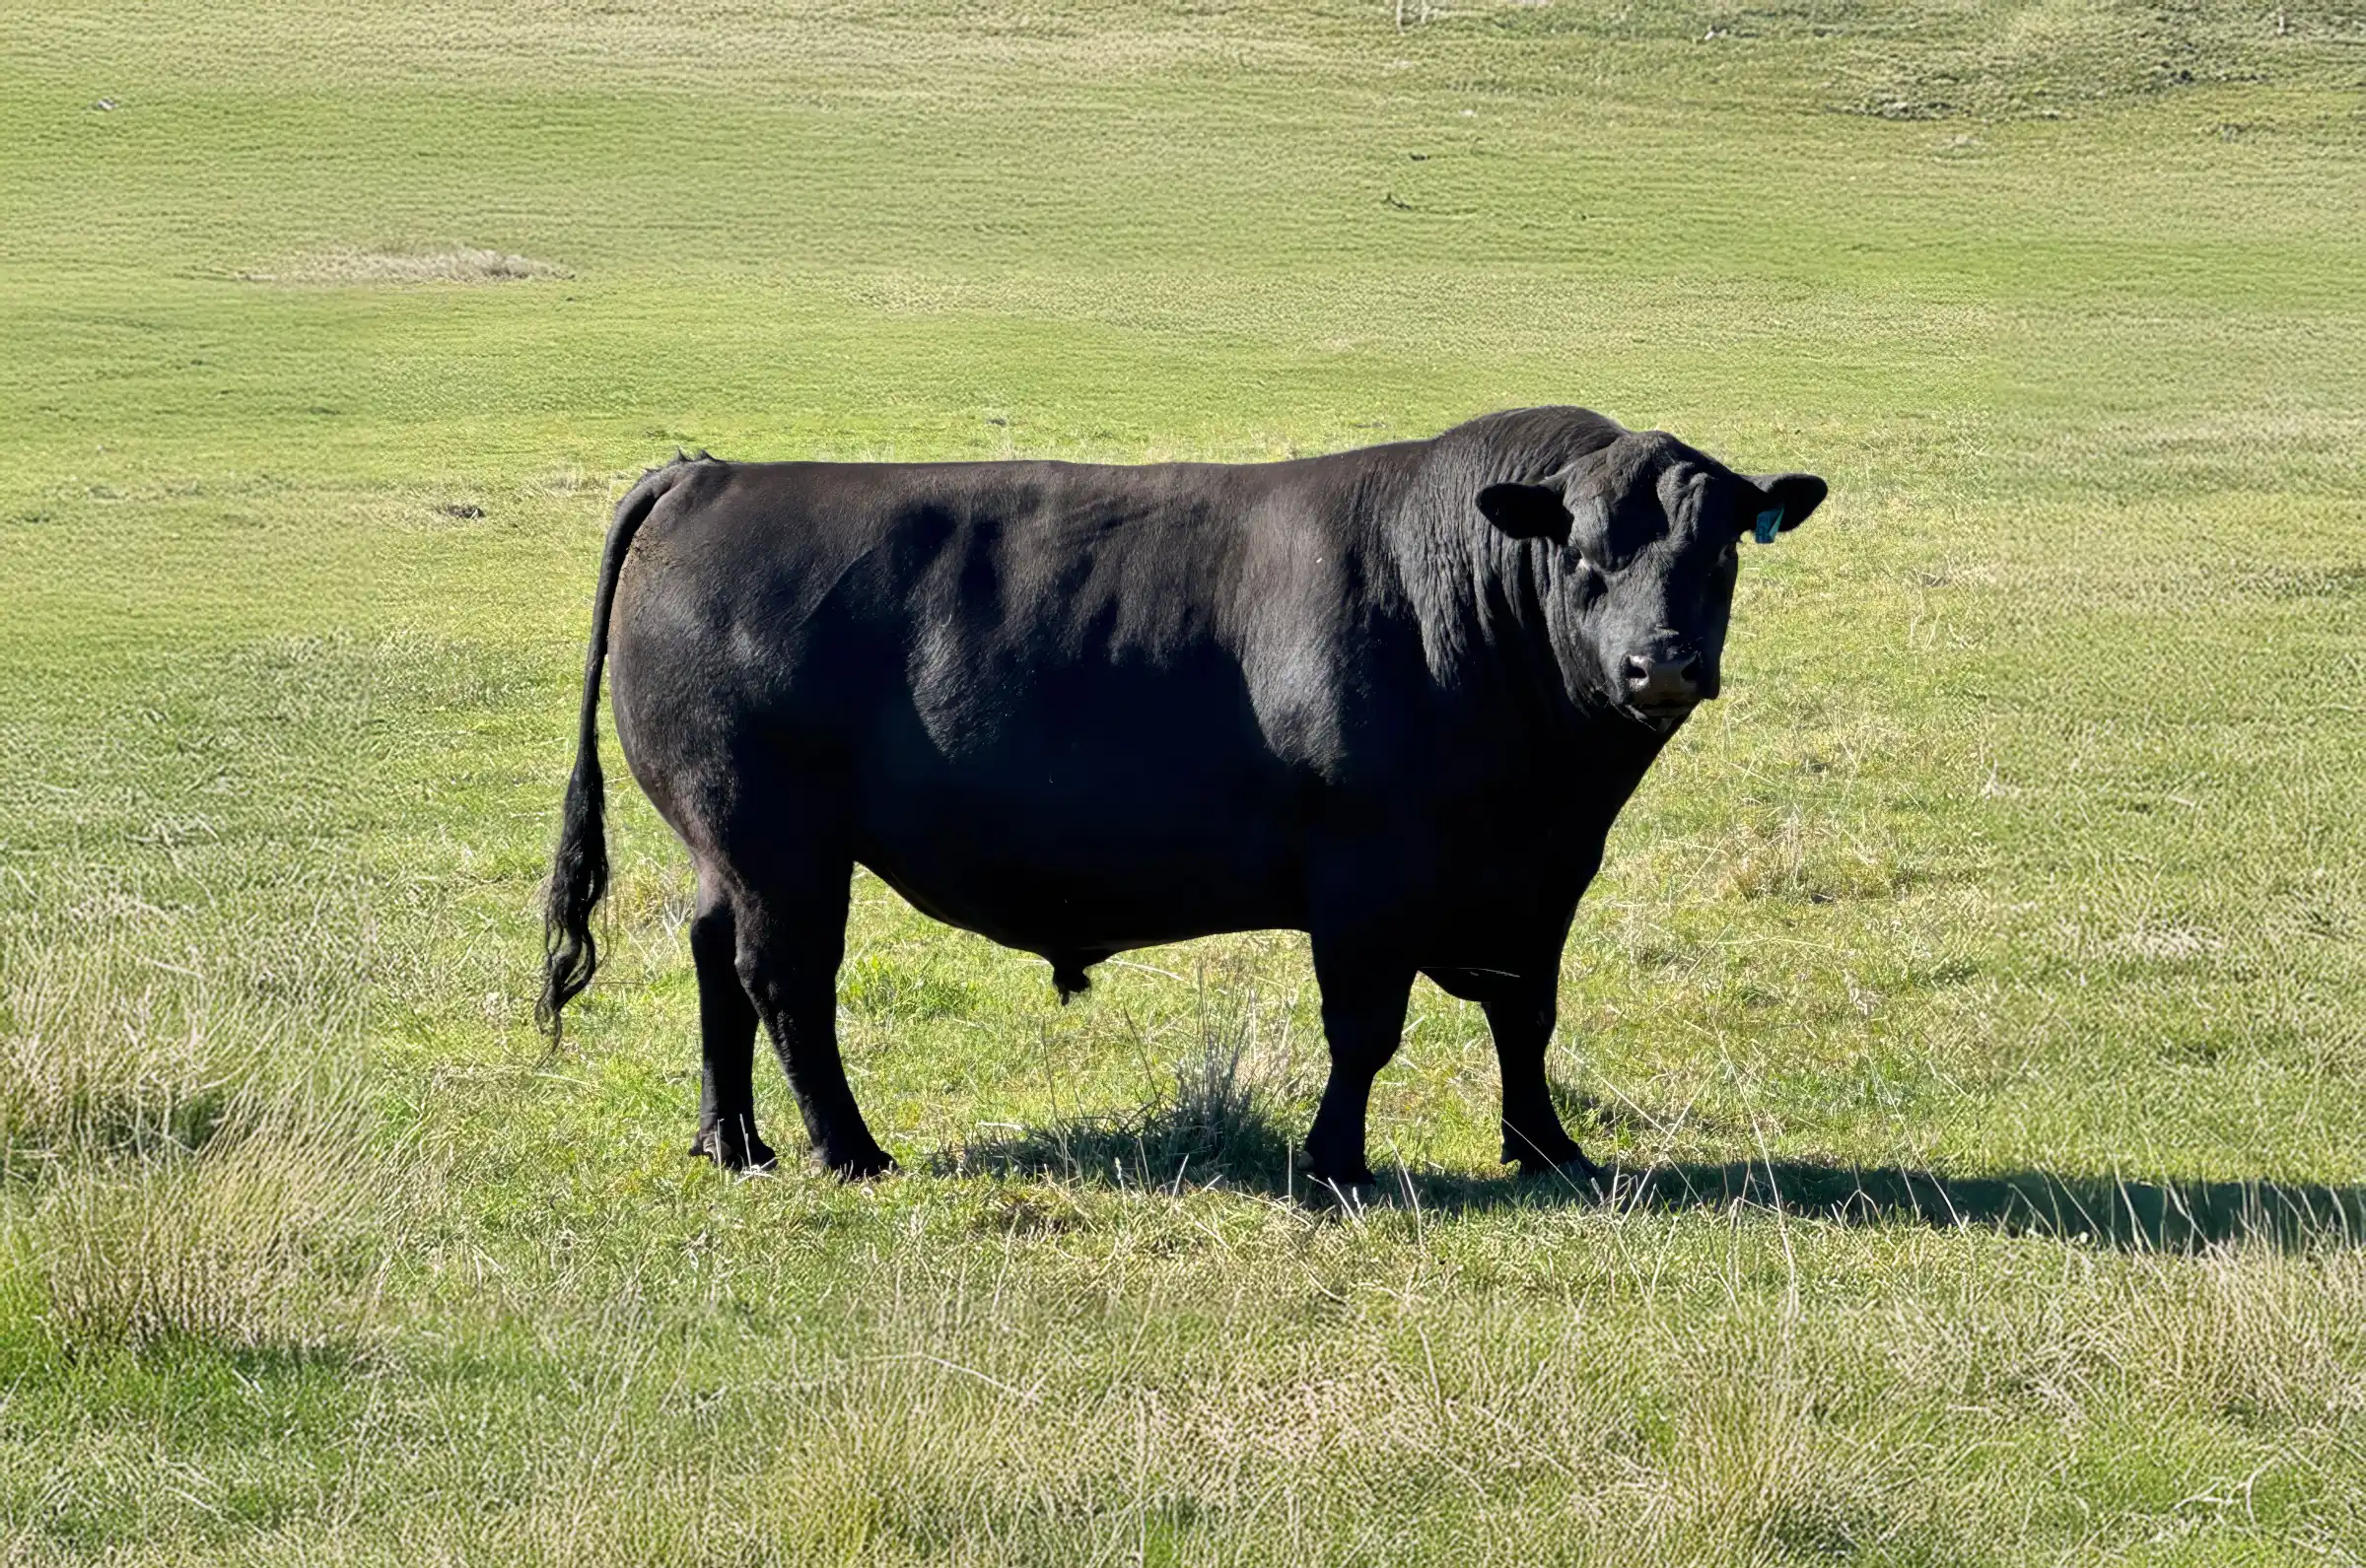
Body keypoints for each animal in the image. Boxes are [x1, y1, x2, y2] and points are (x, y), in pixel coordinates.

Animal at [536, 407, 1826, 1186]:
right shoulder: (1370, 875)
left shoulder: (1540, 879)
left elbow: (1526, 1017)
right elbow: (1366, 1027)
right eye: (1585, 554)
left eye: (1720, 551)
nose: (1662, 664)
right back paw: (849, 1150)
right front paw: (1334, 1163)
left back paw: (732, 1140)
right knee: (785, 982)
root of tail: (710, 475)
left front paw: (1546, 1148)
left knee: (715, 961)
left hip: (728, 845)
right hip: (778, 843)